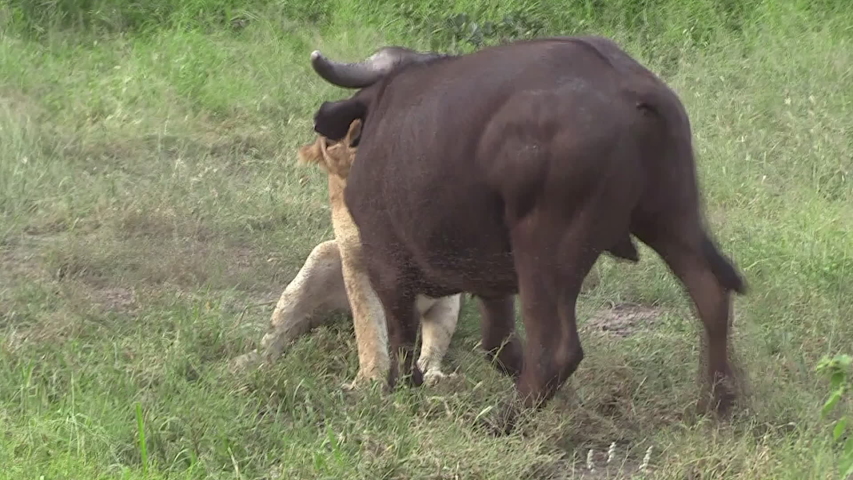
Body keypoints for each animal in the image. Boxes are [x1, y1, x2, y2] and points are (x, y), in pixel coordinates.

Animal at [233, 120, 461, 389]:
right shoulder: (357, 263)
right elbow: (368, 329)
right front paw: (369, 380)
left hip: (447, 303)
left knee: (434, 345)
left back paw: (436, 376)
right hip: (322, 256)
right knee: (279, 333)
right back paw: (246, 364)